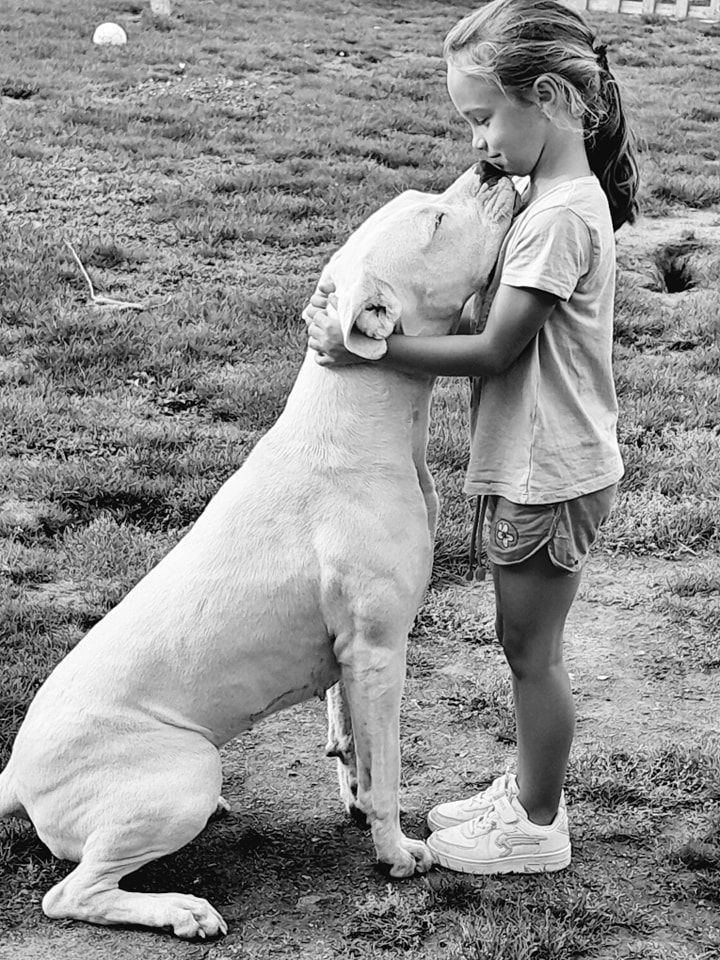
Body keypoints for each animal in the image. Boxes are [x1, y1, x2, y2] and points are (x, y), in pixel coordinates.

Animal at [0, 165, 516, 936]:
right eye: (435, 222)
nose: (490, 167)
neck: (357, 412)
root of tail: (16, 775)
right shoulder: (380, 650)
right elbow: (390, 766)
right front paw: (396, 853)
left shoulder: (350, 657)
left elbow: (353, 744)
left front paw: (358, 805)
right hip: (184, 771)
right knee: (71, 894)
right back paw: (183, 911)